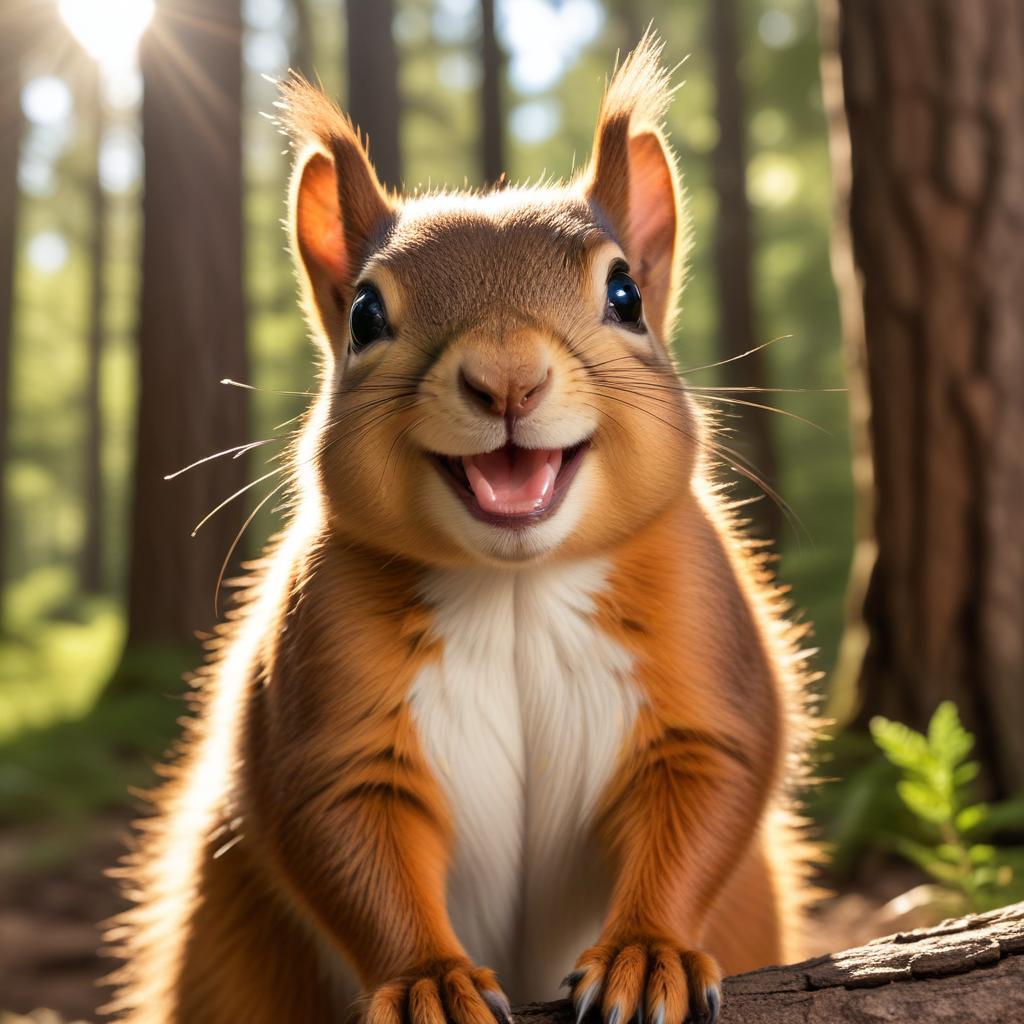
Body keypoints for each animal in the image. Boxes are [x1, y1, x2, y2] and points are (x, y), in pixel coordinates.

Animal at [108, 33, 816, 1024]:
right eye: (365, 314)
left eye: (626, 295)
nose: (508, 378)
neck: (517, 584)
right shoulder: (324, 682)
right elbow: (347, 834)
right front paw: (429, 982)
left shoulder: (703, 627)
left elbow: (709, 779)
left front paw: (647, 954)